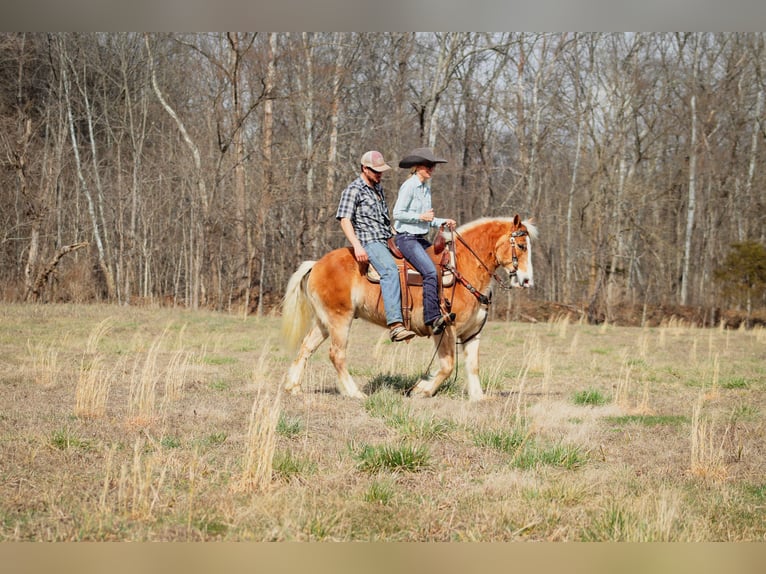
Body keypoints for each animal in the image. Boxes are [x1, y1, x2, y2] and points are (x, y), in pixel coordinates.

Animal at [282, 215, 540, 400]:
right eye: (520, 245)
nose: (527, 280)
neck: (462, 269)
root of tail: (317, 264)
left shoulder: (472, 333)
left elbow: (473, 366)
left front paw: (478, 397)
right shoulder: (444, 328)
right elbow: (447, 366)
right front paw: (421, 389)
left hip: (323, 321)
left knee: (306, 348)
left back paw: (293, 387)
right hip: (339, 320)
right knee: (337, 355)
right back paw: (354, 393)